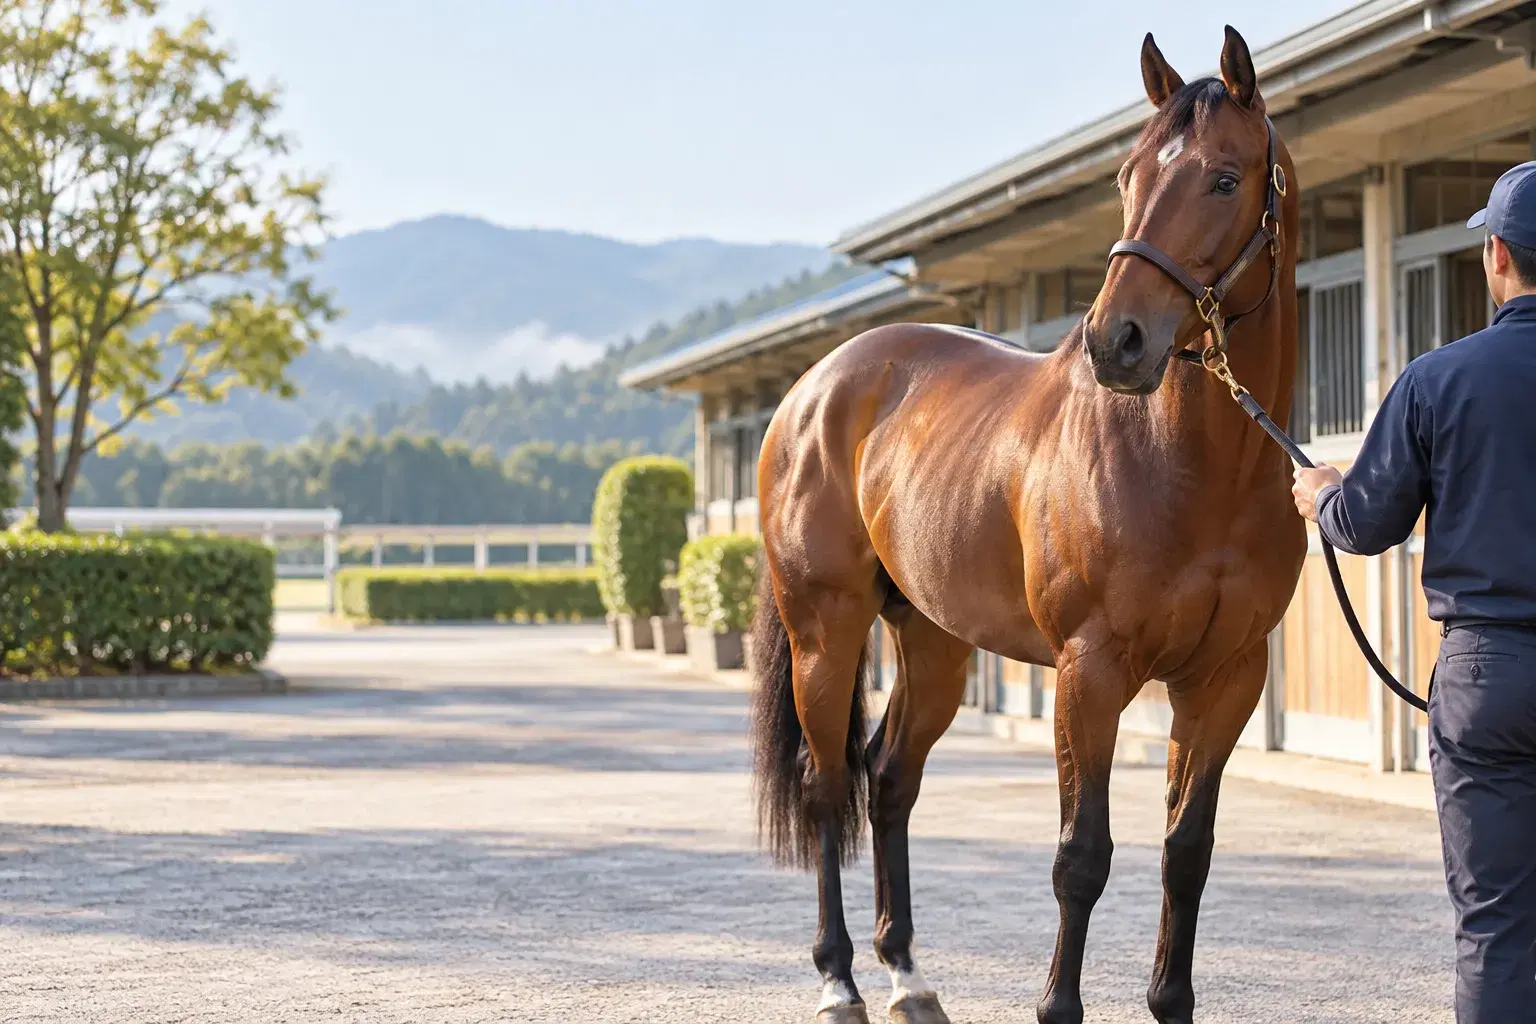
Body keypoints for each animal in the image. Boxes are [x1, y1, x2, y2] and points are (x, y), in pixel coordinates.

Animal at [748, 26, 1305, 1024]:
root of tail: (815, 387)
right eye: (1126, 175)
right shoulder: (1090, 674)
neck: (1194, 469)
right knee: (824, 788)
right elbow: (1081, 858)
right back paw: (839, 979)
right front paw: (1056, 1006)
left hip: (932, 639)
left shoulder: (1226, 680)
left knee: (889, 780)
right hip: (826, 630)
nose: (1117, 343)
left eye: (1224, 179)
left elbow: (1187, 853)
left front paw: (1170, 1001)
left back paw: (908, 975)